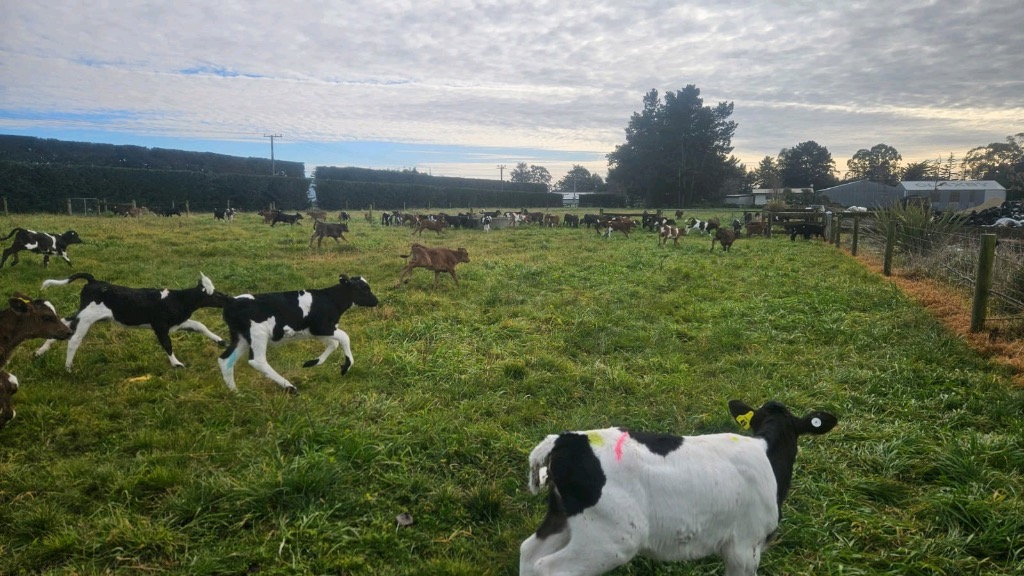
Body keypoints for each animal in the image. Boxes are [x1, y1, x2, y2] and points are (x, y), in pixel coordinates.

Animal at [35, 273, 231, 370]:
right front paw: (176, 363)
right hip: (87, 317)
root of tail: (94, 281)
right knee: (74, 339)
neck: (178, 299)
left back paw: (40, 352)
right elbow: (167, 344)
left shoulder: (178, 322)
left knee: (64, 323)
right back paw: (68, 367)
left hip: (83, 314)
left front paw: (221, 341)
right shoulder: (160, 326)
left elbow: (200, 325)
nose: (229, 299)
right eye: (217, 294)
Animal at [217, 274, 379, 394]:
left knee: (226, 359)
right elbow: (345, 337)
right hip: (258, 334)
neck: (330, 300)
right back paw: (289, 387)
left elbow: (334, 343)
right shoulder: (322, 327)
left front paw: (311, 363)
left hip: (242, 337)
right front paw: (346, 367)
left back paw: (235, 392)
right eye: (364, 289)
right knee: (257, 361)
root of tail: (231, 300)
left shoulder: (316, 331)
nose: (376, 301)